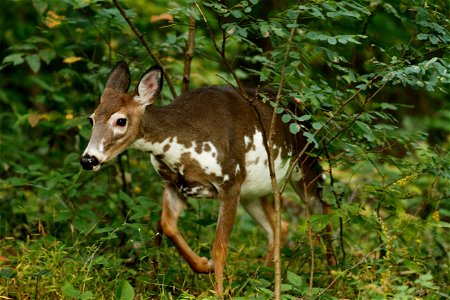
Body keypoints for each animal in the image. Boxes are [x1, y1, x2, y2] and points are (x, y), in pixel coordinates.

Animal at [79, 61, 322, 298]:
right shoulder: (174, 184)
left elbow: (219, 248)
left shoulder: (230, 180)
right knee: (279, 226)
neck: (184, 141)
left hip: (307, 164)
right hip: (254, 191)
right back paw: (262, 280)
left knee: (322, 211)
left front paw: (219, 293)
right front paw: (204, 265)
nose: (88, 159)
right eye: (91, 119)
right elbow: (167, 226)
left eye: (121, 120)